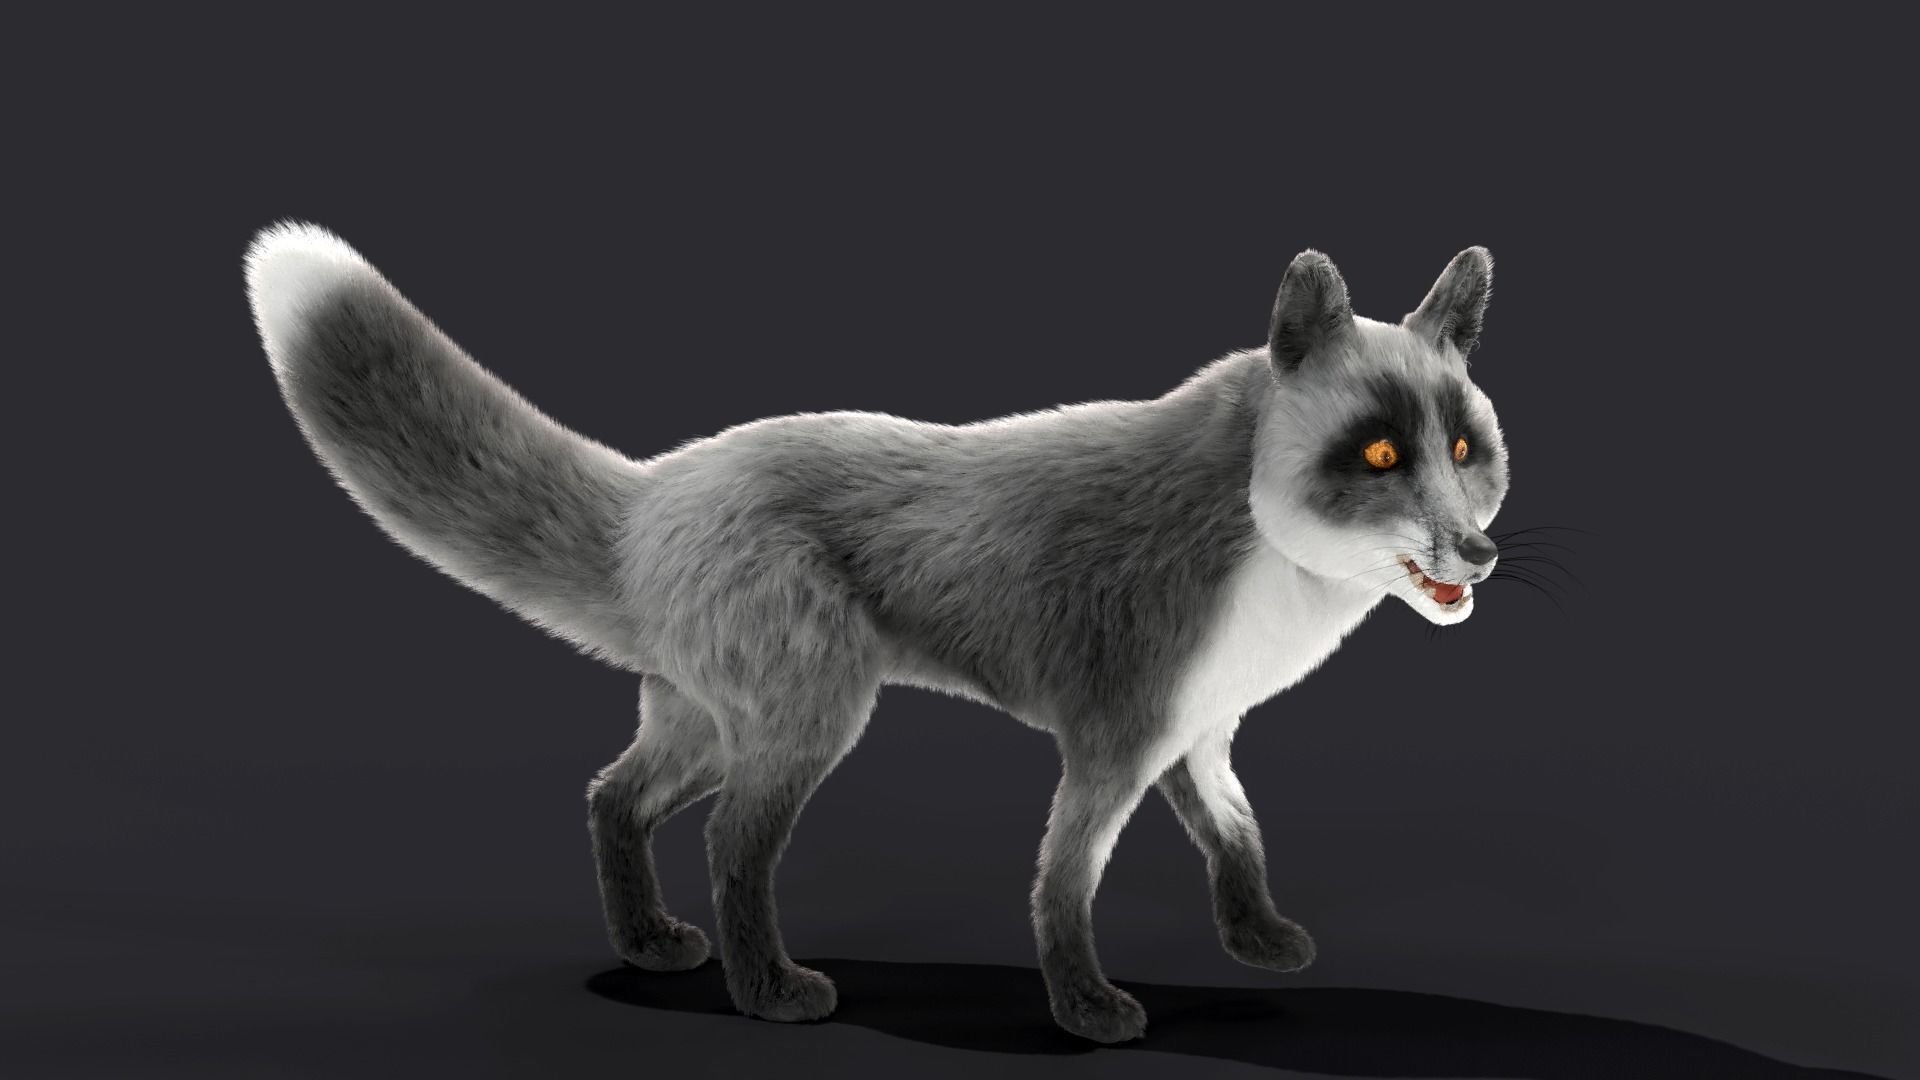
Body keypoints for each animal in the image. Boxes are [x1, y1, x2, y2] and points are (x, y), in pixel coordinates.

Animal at [245, 224, 1508, 1042]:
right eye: (1379, 454)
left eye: (1464, 450)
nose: (1480, 555)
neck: (1255, 551)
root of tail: (653, 492)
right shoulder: (1110, 741)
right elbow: (1063, 886)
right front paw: (1086, 1010)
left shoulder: (1194, 735)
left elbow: (1238, 842)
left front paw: (1258, 943)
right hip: (810, 721)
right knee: (731, 848)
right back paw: (769, 992)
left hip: (707, 723)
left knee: (612, 798)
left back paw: (649, 942)